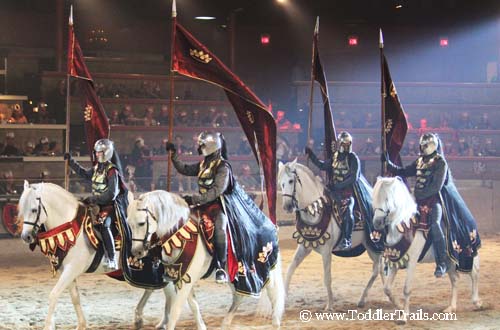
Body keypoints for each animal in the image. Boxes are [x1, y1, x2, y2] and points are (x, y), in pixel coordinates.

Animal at [19, 182, 199, 330]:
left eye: (34, 209)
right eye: (21, 209)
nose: (25, 236)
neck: (72, 226)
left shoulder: (72, 269)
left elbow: (54, 294)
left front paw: (48, 325)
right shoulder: (68, 271)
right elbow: (75, 297)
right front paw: (81, 324)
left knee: (168, 292)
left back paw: (162, 321)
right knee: (156, 289)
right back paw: (146, 319)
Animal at [127, 189, 286, 328]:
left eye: (142, 223)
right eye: (129, 223)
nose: (137, 251)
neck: (179, 235)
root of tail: (269, 223)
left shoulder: (186, 279)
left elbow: (175, 311)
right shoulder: (182, 277)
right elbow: (193, 305)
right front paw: (202, 326)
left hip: (265, 269)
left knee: (273, 293)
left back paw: (276, 323)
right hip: (232, 275)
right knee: (238, 296)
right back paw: (226, 323)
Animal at [278, 160, 382, 310]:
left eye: (291, 181)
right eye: (281, 183)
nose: (287, 206)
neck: (316, 211)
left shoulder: (326, 251)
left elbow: (327, 278)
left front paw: (330, 305)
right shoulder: (304, 248)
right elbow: (290, 270)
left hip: (373, 244)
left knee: (378, 269)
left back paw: (364, 299)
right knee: (380, 269)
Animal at [374, 178, 482, 322]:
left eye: (387, 199)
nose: (377, 223)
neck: (404, 225)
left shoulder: (412, 261)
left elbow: (406, 289)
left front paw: (404, 316)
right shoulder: (396, 260)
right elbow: (387, 288)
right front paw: (400, 306)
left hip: (468, 256)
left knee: (474, 273)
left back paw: (477, 303)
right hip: (449, 261)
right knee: (455, 279)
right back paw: (451, 308)